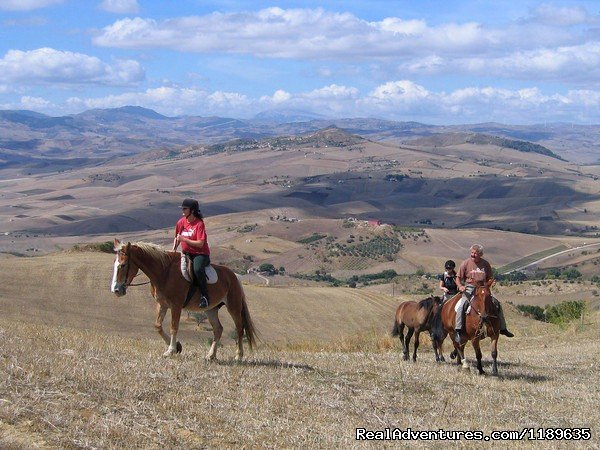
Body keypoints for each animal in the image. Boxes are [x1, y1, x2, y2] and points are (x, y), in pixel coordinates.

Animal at [111, 241, 256, 360]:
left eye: (123, 265)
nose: (116, 290)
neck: (164, 272)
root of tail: (234, 276)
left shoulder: (176, 306)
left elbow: (174, 327)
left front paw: (171, 350)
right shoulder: (162, 304)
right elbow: (158, 326)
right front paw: (177, 346)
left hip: (234, 307)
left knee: (240, 329)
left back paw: (238, 355)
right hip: (211, 309)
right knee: (218, 329)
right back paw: (211, 355)